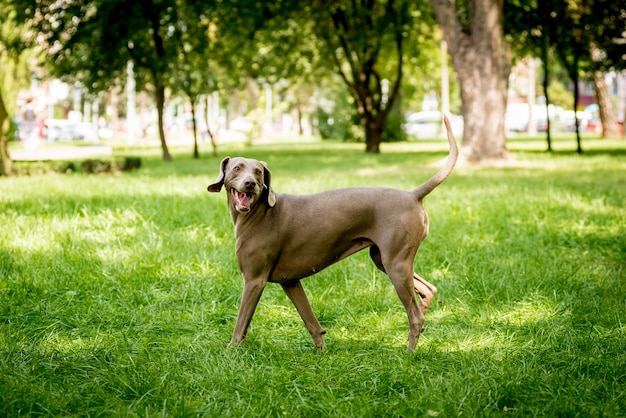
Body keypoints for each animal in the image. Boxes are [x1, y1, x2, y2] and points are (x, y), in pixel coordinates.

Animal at [207, 115, 456, 350]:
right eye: (237, 168)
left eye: (258, 172)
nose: (250, 183)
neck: (258, 213)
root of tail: (413, 195)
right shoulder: (291, 281)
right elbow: (310, 321)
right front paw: (321, 352)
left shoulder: (254, 280)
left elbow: (241, 322)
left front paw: (231, 350)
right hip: (384, 260)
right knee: (428, 290)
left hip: (395, 264)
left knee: (415, 316)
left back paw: (409, 353)